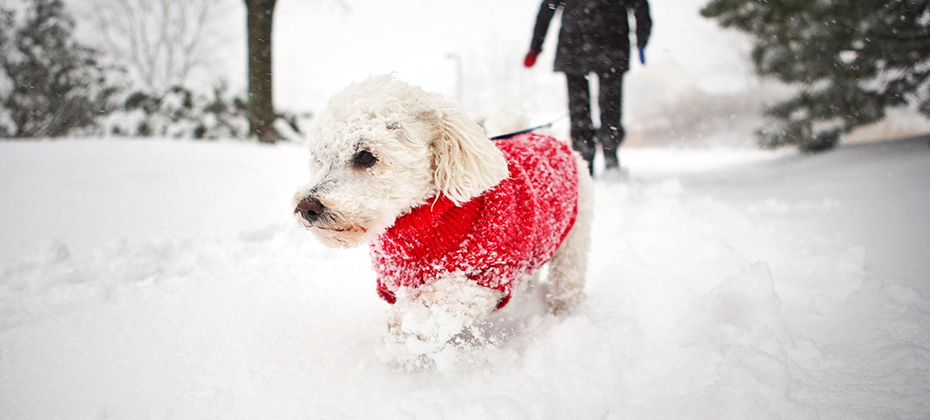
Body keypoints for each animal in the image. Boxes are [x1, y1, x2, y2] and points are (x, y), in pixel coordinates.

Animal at [294, 76, 592, 368]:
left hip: (572, 247)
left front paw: (403, 343)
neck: (421, 226)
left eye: (366, 156)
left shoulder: (489, 275)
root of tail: (547, 137)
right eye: (319, 157)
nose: (307, 207)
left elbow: (431, 307)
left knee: (567, 285)